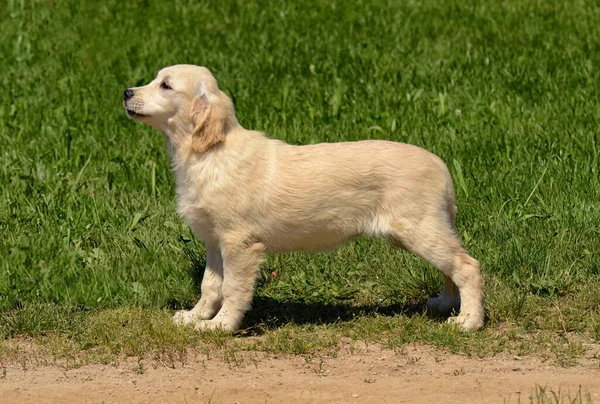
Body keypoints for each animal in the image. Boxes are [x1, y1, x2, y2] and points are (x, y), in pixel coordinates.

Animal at [124, 64, 486, 332]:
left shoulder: (239, 243)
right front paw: (194, 317)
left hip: (420, 229)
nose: (126, 92)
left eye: (165, 85)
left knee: (467, 266)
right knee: (451, 267)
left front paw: (221, 326)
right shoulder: (214, 241)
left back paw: (468, 320)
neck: (210, 153)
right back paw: (445, 303)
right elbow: (210, 285)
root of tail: (441, 166)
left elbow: (233, 289)